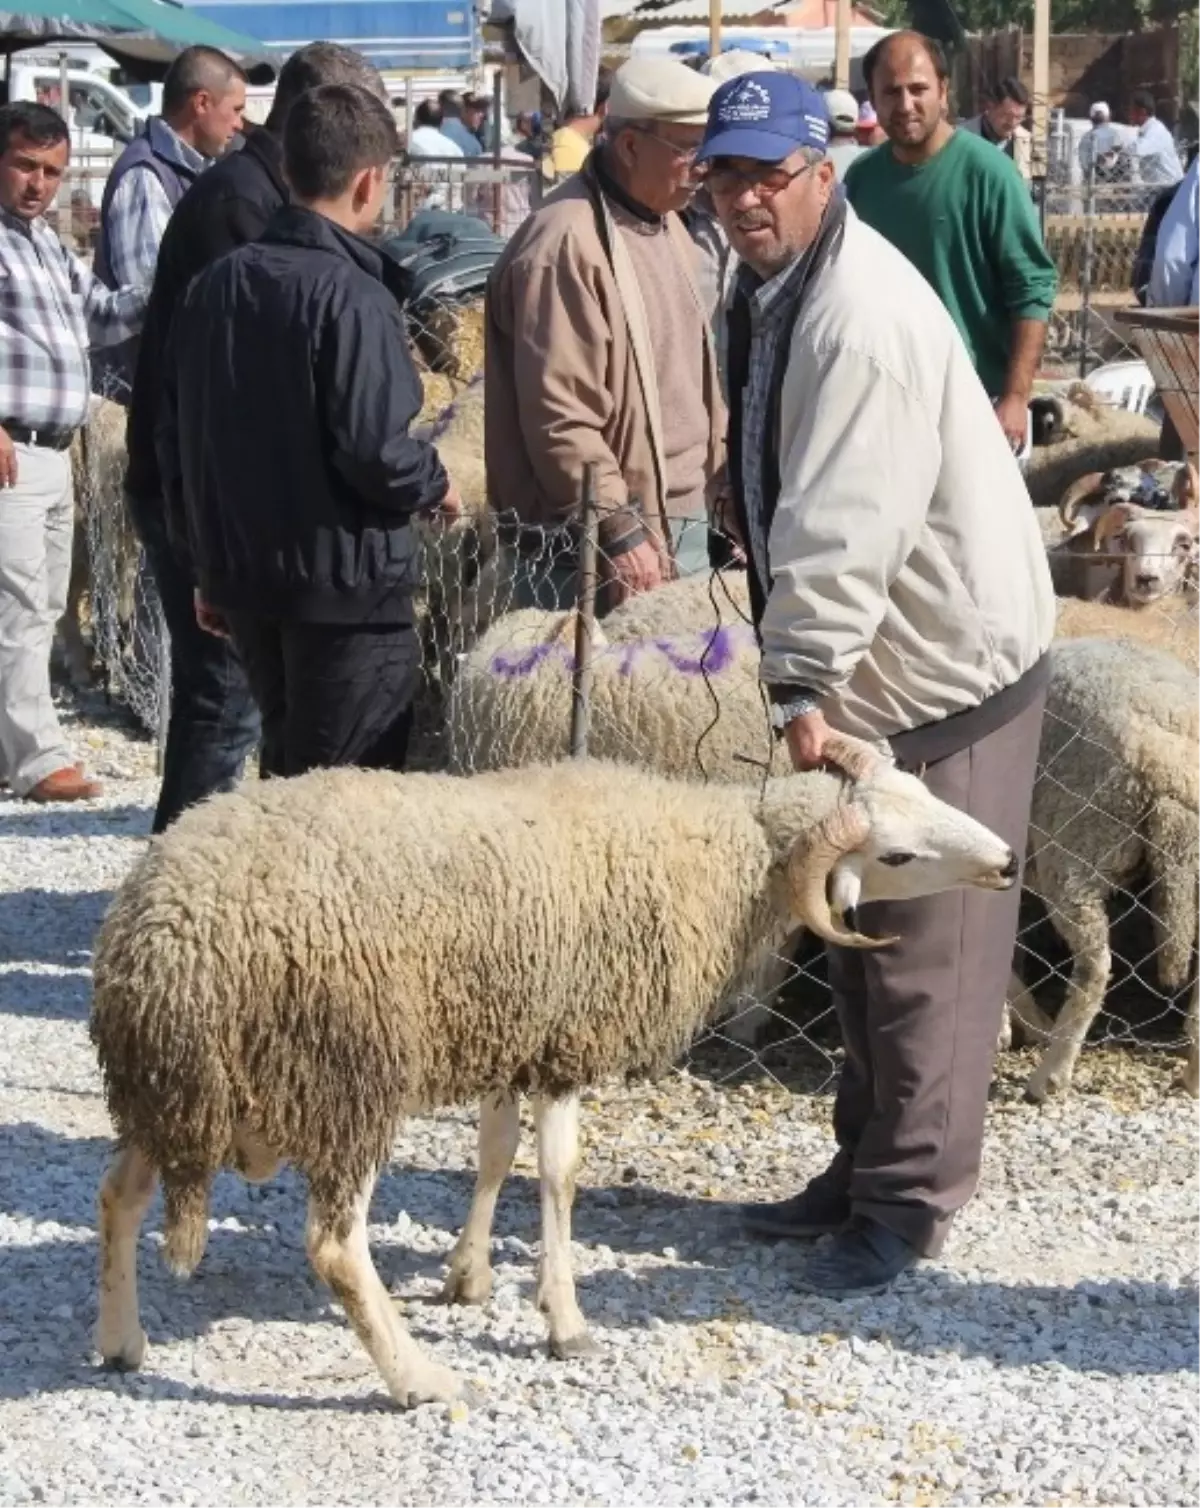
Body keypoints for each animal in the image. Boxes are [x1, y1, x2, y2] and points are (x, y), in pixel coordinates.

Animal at [88, 750, 1019, 1399]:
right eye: (896, 857)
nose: (1009, 862)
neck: (712, 854)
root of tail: (164, 941)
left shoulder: (518, 1030)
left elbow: (496, 1154)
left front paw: (469, 1278)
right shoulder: (569, 1038)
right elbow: (560, 1175)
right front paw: (564, 1320)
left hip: (166, 1094)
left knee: (118, 1195)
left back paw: (120, 1340)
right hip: (344, 1078)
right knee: (336, 1250)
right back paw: (418, 1381)